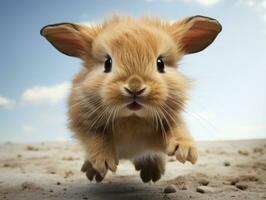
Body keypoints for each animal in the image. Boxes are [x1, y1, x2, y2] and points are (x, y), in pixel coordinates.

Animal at [40, 14, 221, 182]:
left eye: (160, 63)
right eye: (107, 63)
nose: (135, 87)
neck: (132, 118)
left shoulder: (170, 118)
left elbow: (177, 128)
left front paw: (185, 151)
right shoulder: (83, 121)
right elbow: (96, 138)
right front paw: (103, 162)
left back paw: (151, 173)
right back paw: (93, 173)